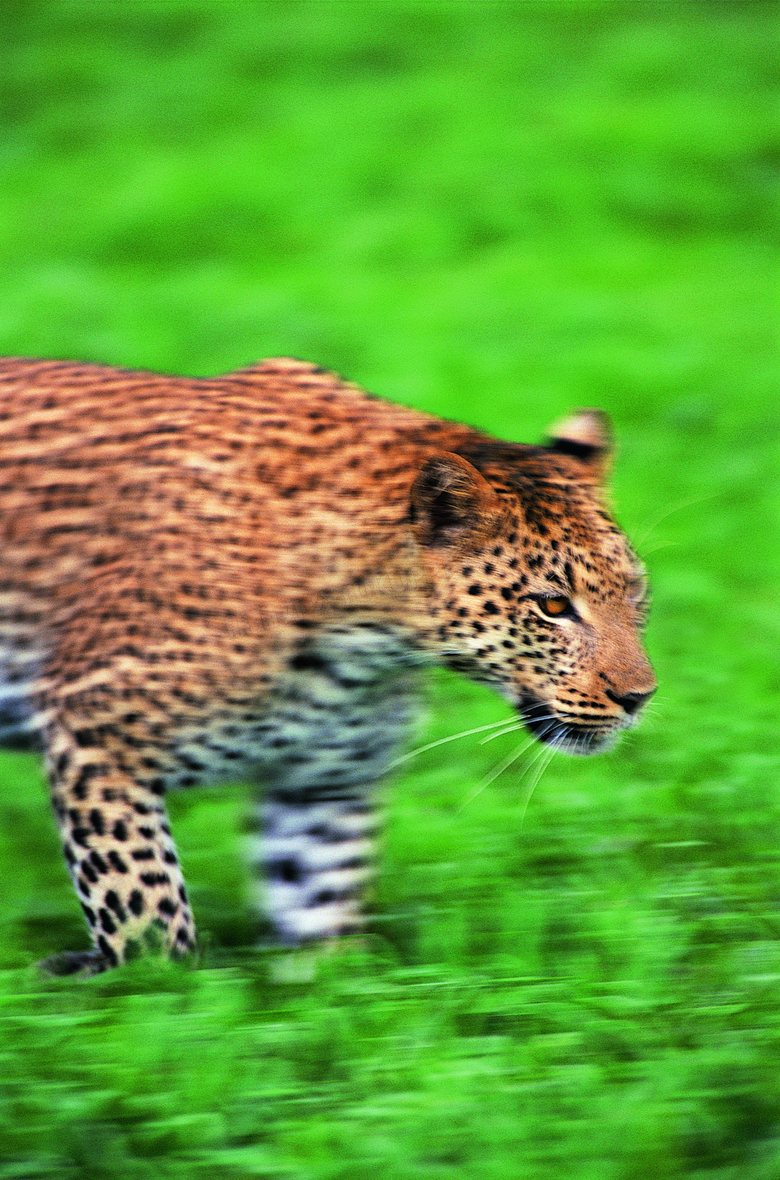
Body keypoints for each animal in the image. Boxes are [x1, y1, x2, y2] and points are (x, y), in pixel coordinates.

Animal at [0, 353, 651, 972]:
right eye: (552, 606)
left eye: (636, 592)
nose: (640, 698)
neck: (362, 651)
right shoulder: (95, 737)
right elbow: (147, 919)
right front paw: (147, 990)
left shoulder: (324, 785)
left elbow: (321, 923)